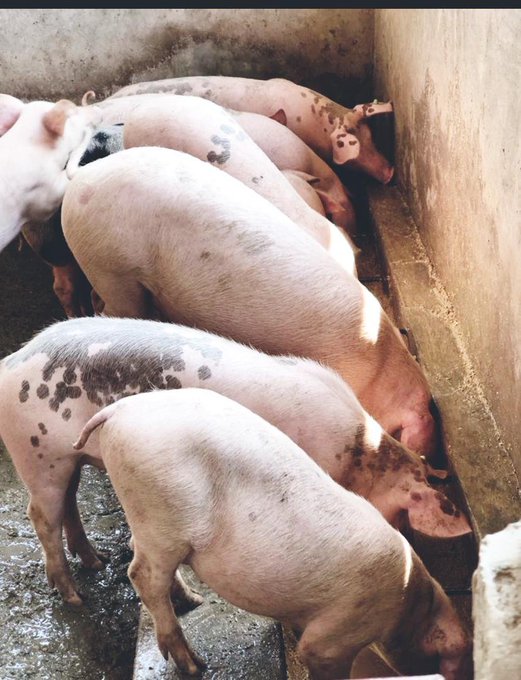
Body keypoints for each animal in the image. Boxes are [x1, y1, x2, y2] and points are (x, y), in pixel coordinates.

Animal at [0, 317, 469, 605]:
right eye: (405, 512)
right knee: (41, 515)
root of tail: (12, 359)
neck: (359, 453)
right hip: (36, 453)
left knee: (69, 504)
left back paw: (95, 561)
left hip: (67, 457)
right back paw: (74, 595)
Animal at [73, 388, 473, 680]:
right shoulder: (338, 633)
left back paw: (194, 601)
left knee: (139, 554)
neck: (410, 603)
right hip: (159, 514)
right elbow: (316, 653)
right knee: (141, 575)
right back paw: (194, 664)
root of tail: (118, 411)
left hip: (145, 516)